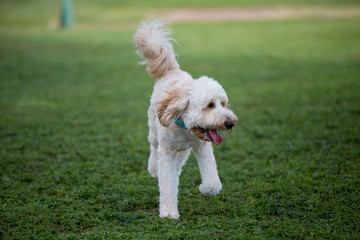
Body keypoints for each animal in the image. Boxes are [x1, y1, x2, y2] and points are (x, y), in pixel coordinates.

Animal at [134, 19, 238, 219]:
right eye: (209, 105)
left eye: (223, 103)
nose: (229, 123)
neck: (184, 127)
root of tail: (171, 70)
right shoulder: (167, 151)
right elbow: (167, 184)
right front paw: (168, 213)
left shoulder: (203, 146)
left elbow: (213, 183)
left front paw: (205, 188)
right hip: (154, 132)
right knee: (154, 148)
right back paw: (154, 169)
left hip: (183, 149)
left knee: (179, 161)